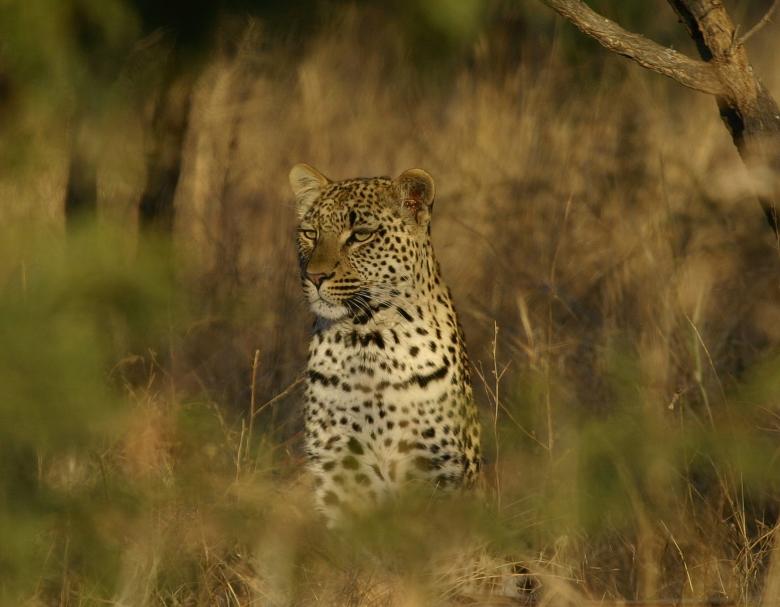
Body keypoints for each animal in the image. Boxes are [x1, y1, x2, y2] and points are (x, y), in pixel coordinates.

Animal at [289, 163, 481, 523]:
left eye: (360, 235)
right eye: (310, 233)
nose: (314, 276)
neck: (368, 339)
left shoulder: (432, 466)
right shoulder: (337, 463)